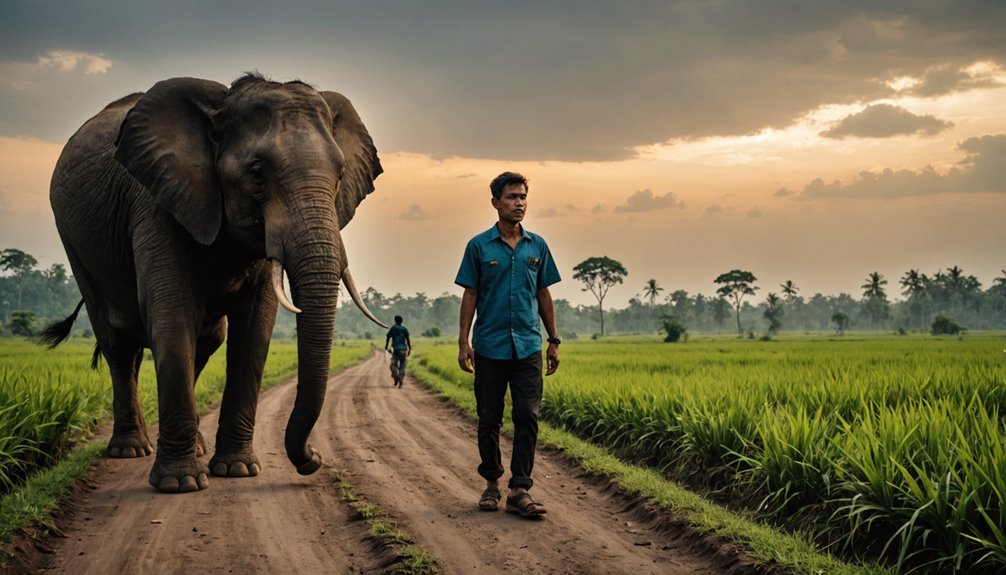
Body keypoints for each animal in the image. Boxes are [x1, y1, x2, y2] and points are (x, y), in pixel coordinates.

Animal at [41, 72, 384, 494]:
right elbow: (173, 319)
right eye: (256, 173)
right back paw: (131, 450)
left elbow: (254, 330)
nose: (314, 460)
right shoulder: (156, 203)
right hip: (77, 247)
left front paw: (237, 470)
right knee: (117, 344)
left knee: (204, 342)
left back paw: (194, 447)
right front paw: (180, 483)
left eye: (339, 175)